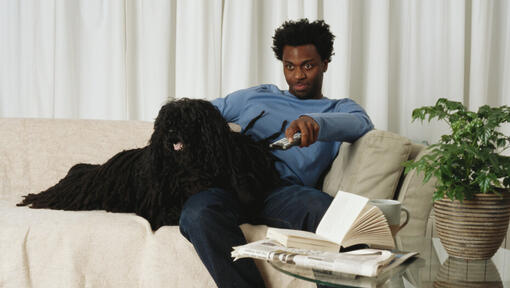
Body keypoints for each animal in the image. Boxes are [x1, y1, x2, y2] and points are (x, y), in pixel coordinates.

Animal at [16, 98, 282, 230]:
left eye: (189, 119)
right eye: (167, 120)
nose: (171, 131)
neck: (189, 165)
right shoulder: (159, 205)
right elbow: (169, 212)